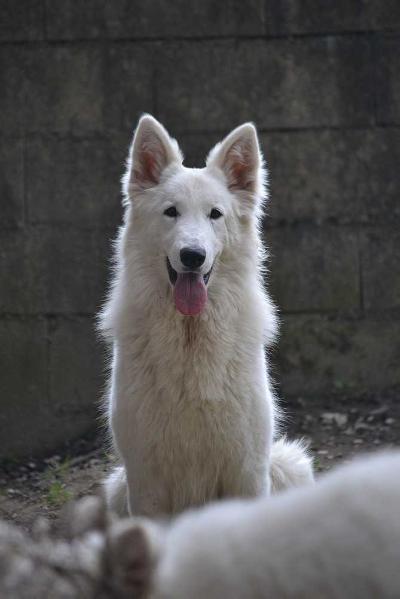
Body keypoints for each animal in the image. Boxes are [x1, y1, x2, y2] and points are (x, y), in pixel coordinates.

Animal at [99, 115, 312, 516]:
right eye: (171, 211)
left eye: (215, 214)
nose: (193, 256)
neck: (191, 336)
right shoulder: (145, 480)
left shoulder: (247, 470)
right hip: (118, 489)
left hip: (288, 464)